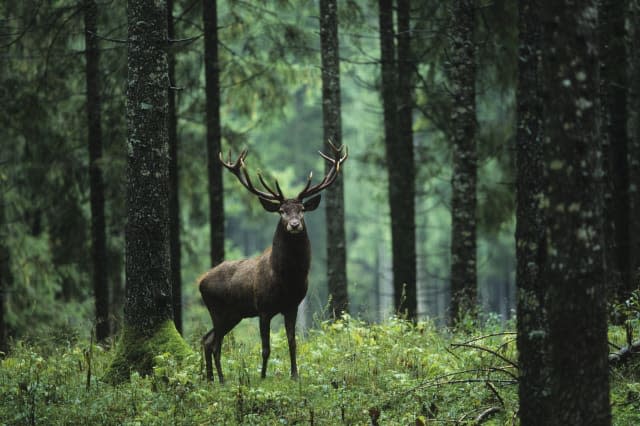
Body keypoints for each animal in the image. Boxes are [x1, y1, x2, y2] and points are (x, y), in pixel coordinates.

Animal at [201, 142, 348, 382]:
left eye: (302, 209)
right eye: (281, 211)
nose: (294, 225)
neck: (286, 278)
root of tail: (200, 282)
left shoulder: (292, 306)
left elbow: (292, 342)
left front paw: (295, 375)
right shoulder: (263, 308)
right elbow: (265, 347)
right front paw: (262, 377)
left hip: (234, 314)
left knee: (207, 339)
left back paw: (212, 379)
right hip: (218, 309)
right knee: (214, 343)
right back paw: (221, 379)